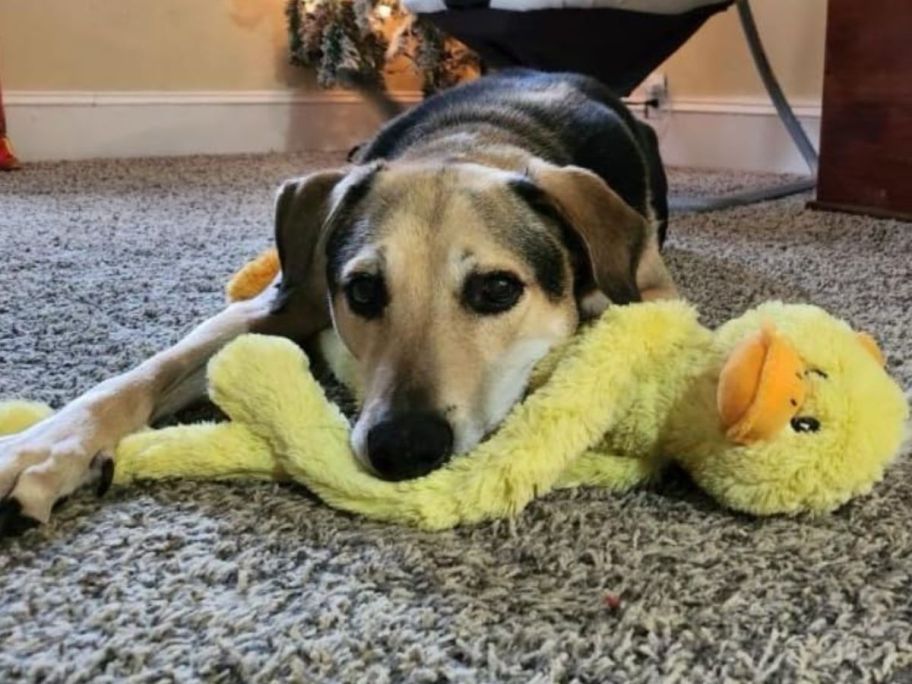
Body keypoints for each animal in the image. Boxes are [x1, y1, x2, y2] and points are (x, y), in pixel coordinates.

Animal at [0, 68, 672, 536]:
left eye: (498, 289)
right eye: (364, 290)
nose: (402, 448)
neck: (476, 143)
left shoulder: (650, 293)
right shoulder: (289, 295)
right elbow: (146, 373)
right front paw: (44, 449)